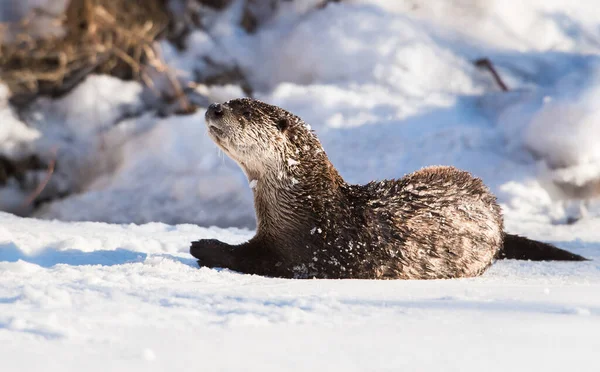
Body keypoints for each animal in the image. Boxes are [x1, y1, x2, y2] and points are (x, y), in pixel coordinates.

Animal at [190, 97, 588, 278]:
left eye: (242, 110)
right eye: (230, 101)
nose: (215, 106)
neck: (308, 206)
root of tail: (499, 216)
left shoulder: (311, 252)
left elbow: (258, 260)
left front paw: (202, 245)